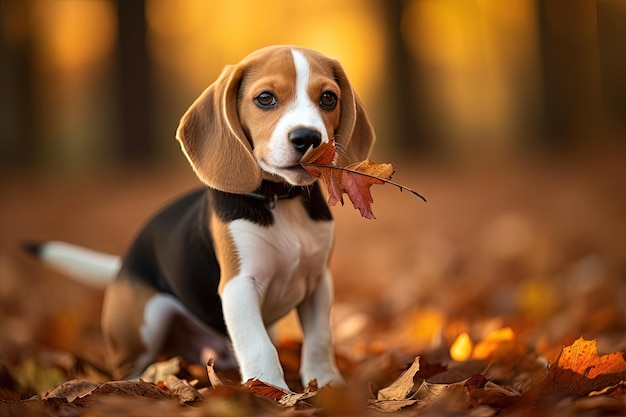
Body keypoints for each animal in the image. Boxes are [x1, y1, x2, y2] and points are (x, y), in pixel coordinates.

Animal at [29, 45, 372, 390]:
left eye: (328, 98)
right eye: (265, 98)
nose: (308, 137)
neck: (281, 200)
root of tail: (123, 265)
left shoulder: (318, 282)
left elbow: (319, 339)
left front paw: (326, 384)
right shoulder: (239, 285)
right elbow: (259, 346)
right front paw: (272, 390)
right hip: (146, 321)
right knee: (127, 366)